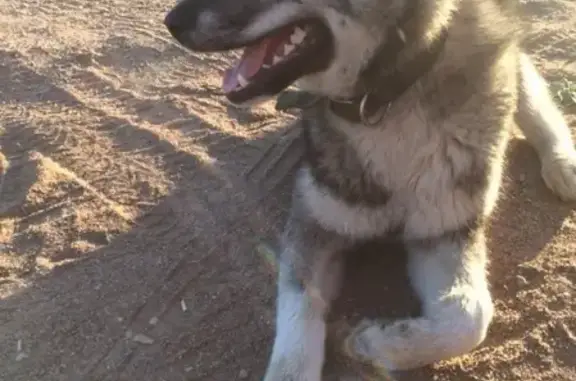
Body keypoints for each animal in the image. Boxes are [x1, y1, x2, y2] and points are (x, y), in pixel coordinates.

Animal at [163, 0, 576, 378]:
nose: (172, 22)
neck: (380, 102)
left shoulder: (446, 230)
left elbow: (469, 316)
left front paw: (374, 342)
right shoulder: (314, 224)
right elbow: (298, 317)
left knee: (528, 86)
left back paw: (562, 162)